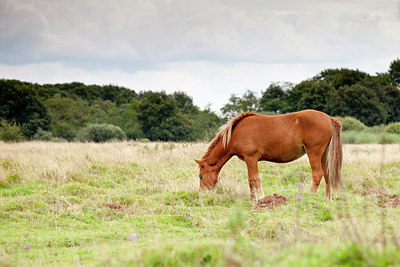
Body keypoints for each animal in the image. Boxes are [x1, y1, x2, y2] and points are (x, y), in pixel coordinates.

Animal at [195, 110, 342, 204]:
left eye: (201, 176)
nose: (201, 194)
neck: (235, 133)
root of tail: (330, 119)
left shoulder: (251, 158)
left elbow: (256, 179)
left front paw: (261, 198)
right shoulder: (248, 160)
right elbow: (250, 180)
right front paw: (252, 200)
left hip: (314, 153)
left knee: (317, 174)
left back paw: (310, 196)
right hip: (324, 154)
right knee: (327, 175)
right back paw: (328, 199)